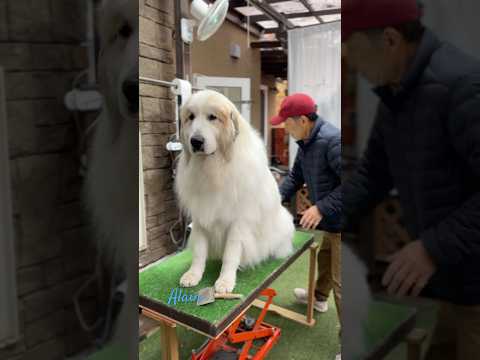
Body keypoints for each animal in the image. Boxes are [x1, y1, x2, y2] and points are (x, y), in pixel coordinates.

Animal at [176, 89, 296, 292]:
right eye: (190, 117)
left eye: (212, 117)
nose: (196, 141)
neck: (214, 168)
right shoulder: (201, 216)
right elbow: (199, 251)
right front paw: (193, 274)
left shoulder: (238, 223)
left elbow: (230, 255)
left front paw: (225, 281)